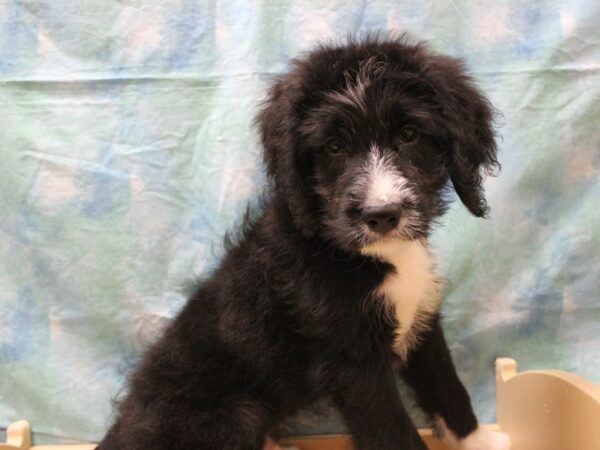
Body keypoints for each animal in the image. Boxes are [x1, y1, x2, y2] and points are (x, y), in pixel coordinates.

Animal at [98, 34, 510, 450]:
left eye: (409, 135)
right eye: (334, 146)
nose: (381, 215)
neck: (376, 256)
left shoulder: (421, 317)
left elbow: (448, 386)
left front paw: (480, 440)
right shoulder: (352, 361)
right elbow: (393, 431)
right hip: (236, 414)